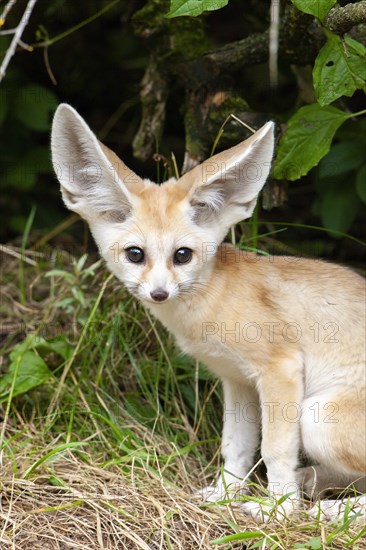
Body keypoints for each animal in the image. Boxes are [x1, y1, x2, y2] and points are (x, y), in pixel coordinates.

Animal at [52, 103, 366, 520]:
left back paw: (333, 511)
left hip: (316, 417)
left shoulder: (279, 369)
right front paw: (225, 494)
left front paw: (280, 511)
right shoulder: (238, 381)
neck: (212, 300)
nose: (159, 293)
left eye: (182, 256)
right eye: (135, 254)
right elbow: (236, 447)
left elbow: (274, 451)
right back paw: (314, 486)